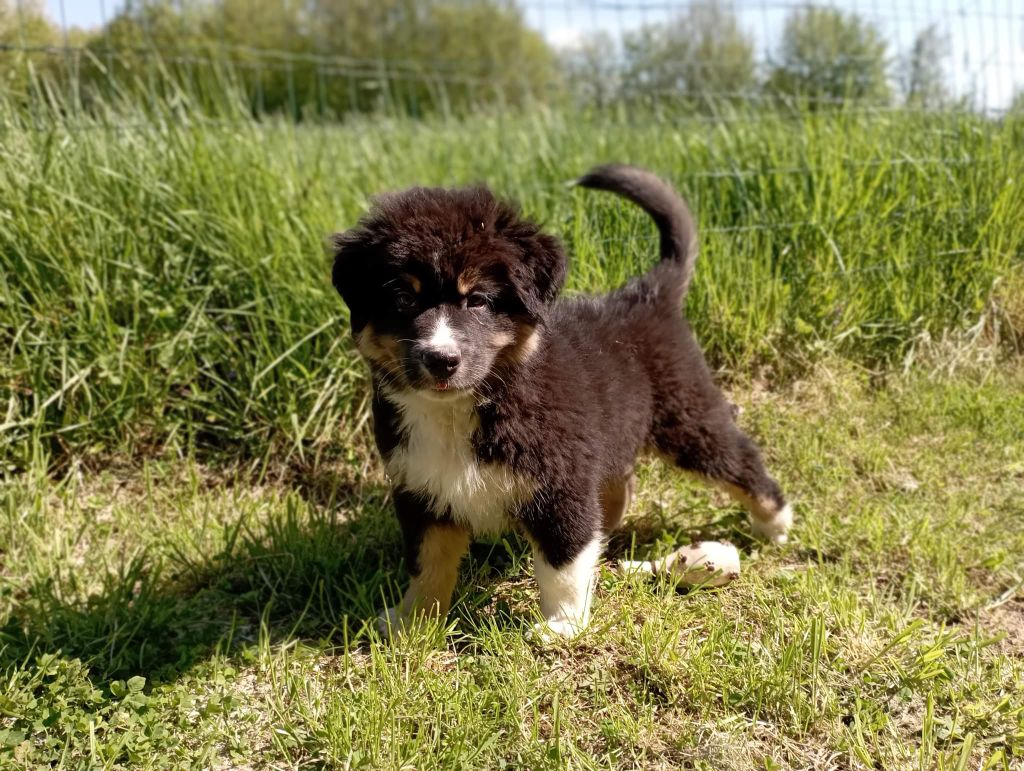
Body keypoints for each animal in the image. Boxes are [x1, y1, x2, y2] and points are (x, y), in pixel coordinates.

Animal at [331, 164, 792, 639]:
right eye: (404, 299)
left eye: (477, 300)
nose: (441, 359)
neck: (465, 408)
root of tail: (645, 294)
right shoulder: (421, 489)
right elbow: (428, 565)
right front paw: (412, 623)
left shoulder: (559, 486)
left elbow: (562, 564)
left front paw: (562, 625)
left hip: (687, 418)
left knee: (741, 461)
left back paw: (775, 525)